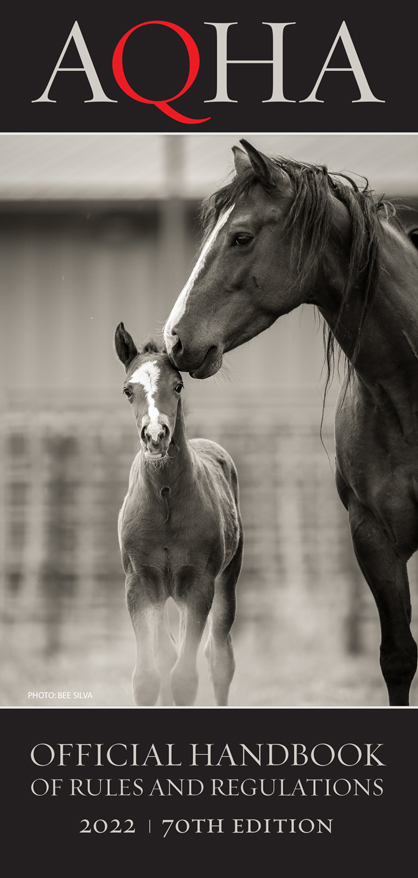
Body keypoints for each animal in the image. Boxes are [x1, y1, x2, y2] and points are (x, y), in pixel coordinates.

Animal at [115, 324, 245, 708]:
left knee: (220, 657)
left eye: (178, 386)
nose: (156, 436)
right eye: (128, 390)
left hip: (226, 579)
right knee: (167, 654)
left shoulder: (199, 585)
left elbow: (184, 678)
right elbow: (148, 676)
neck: (166, 499)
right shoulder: (140, 584)